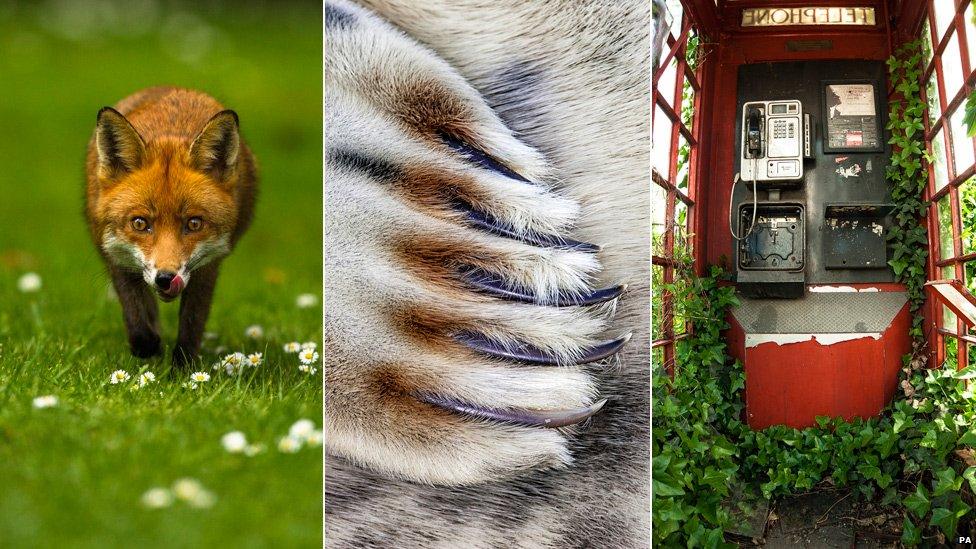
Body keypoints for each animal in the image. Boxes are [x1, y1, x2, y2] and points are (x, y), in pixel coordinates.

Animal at [86, 88, 258, 366]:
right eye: (140, 223)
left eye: (194, 223)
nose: (165, 278)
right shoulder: (116, 256)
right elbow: (137, 319)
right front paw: (148, 347)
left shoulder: (208, 266)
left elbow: (191, 325)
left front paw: (183, 367)